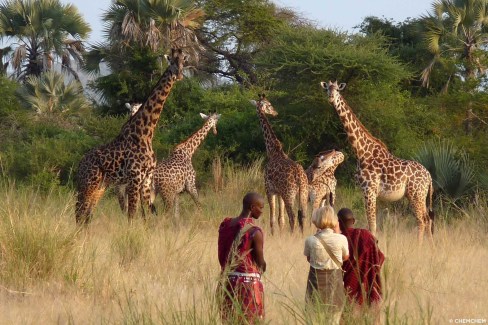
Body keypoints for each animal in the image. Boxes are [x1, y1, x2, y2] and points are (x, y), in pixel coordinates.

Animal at [75, 49, 188, 224]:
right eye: (172, 62)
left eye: (184, 61)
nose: (179, 75)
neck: (146, 133)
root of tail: (80, 164)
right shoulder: (135, 178)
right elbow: (132, 215)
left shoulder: (146, 180)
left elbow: (147, 215)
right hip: (88, 183)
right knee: (80, 213)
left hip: (100, 186)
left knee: (86, 215)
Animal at [252, 93, 308, 233]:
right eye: (269, 104)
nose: (275, 112)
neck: (273, 151)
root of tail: (299, 177)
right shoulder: (279, 193)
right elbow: (280, 220)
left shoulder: (269, 189)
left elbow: (273, 219)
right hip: (303, 193)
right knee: (303, 216)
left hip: (289, 194)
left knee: (293, 217)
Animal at [320, 80, 434, 243]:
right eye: (327, 89)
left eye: (337, 90)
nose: (330, 97)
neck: (361, 151)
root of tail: (429, 177)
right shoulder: (364, 191)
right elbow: (371, 223)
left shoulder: (370, 189)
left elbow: (372, 225)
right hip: (420, 195)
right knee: (427, 219)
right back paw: (431, 246)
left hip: (416, 194)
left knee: (421, 220)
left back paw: (419, 246)